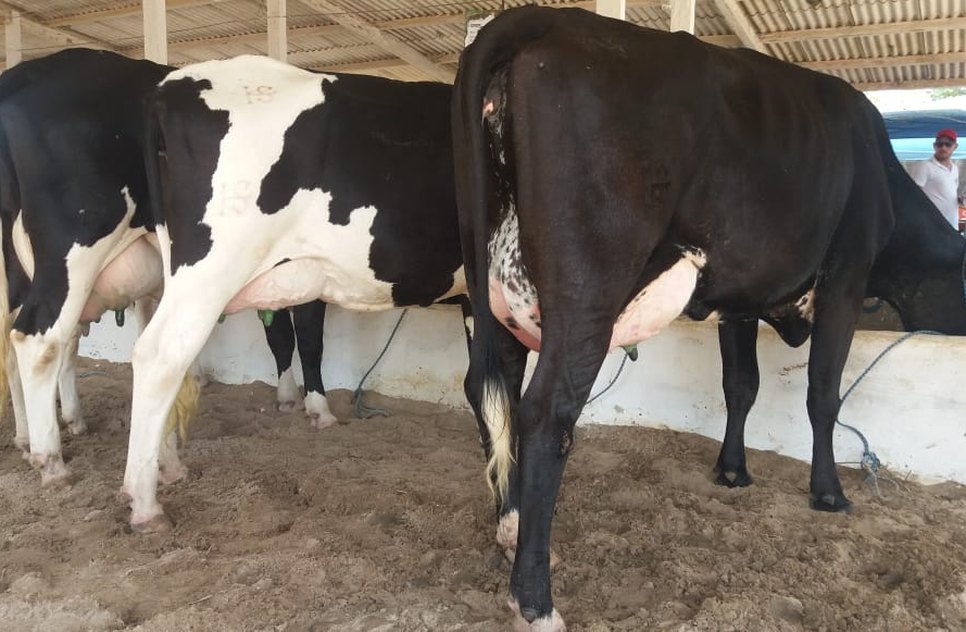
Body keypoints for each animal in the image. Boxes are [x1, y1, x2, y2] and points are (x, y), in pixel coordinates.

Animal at [451, 6, 966, 628]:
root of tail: (542, 16)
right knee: (546, 412)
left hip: (494, 290)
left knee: (491, 389)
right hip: (588, 285)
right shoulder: (845, 279)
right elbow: (823, 393)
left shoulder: (741, 298)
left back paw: (510, 528)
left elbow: (740, 385)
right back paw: (535, 600)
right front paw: (829, 493)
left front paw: (732, 471)